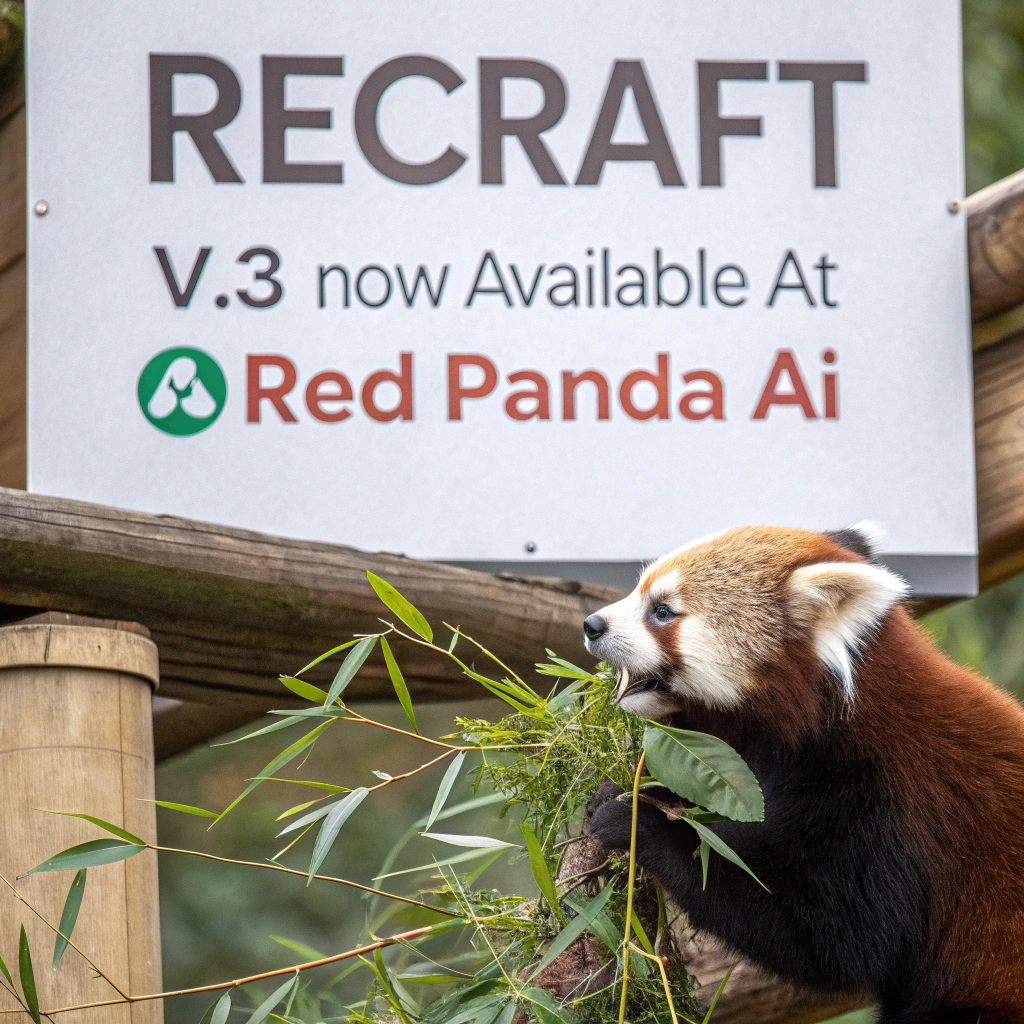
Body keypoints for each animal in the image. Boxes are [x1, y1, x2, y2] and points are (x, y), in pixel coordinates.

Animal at [582, 524, 1024, 1024]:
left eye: (662, 611)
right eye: (639, 590)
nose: (592, 625)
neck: (825, 716)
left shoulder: (879, 804)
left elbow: (831, 935)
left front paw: (640, 821)